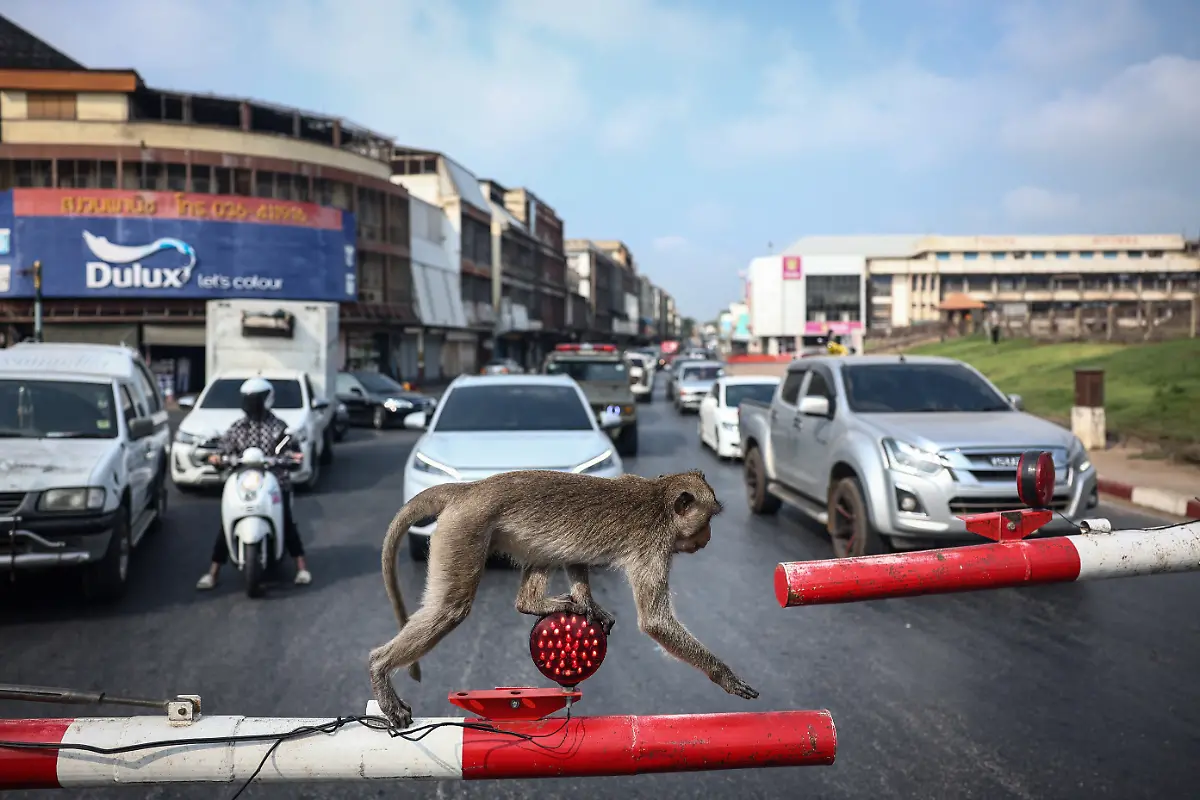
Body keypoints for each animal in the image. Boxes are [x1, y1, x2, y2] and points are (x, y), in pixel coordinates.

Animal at [368, 469, 759, 730]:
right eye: (707, 519)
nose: (708, 538)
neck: (658, 498)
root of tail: (470, 489)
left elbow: (575, 556)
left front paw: (589, 605)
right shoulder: (653, 546)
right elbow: (655, 622)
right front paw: (725, 676)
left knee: (545, 550)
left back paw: (533, 603)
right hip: (465, 530)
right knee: (450, 608)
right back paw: (379, 667)